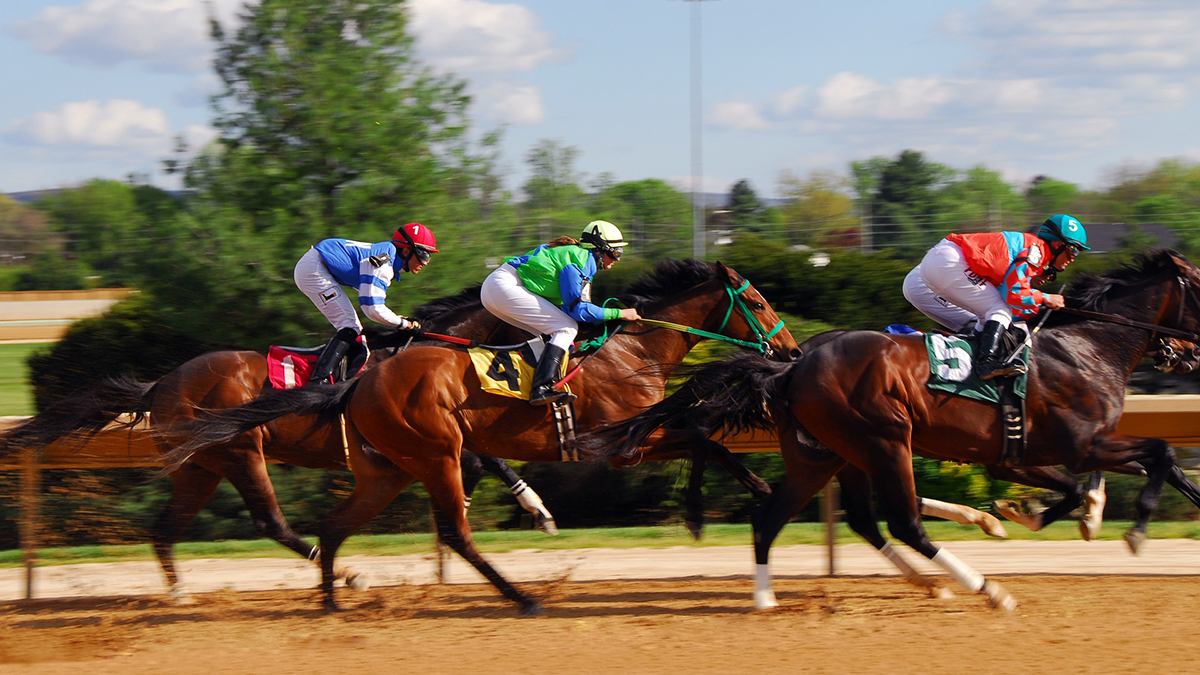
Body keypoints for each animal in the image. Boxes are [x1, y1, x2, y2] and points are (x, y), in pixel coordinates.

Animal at [157, 258, 796, 614]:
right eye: (757, 301)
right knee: (446, 533)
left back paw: (332, 596)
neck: (633, 351)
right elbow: (701, 438)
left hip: (368, 469)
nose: (790, 351)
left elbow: (704, 437)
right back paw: (523, 599)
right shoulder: (621, 445)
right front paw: (715, 508)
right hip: (393, 453)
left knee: (321, 527)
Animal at [585, 248, 1200, 610]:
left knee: (785, 518)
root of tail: (791, 367)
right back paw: (984, 588)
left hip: (826, 455)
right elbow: (1162, 452)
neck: (1087, 346)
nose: (1187, 355)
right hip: (882, 439)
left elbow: (1121, 473)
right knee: (901, 521)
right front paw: (1132, 530)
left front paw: (1033, 514)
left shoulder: (1031, 453)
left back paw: (769, 600)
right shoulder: (1079, 443)